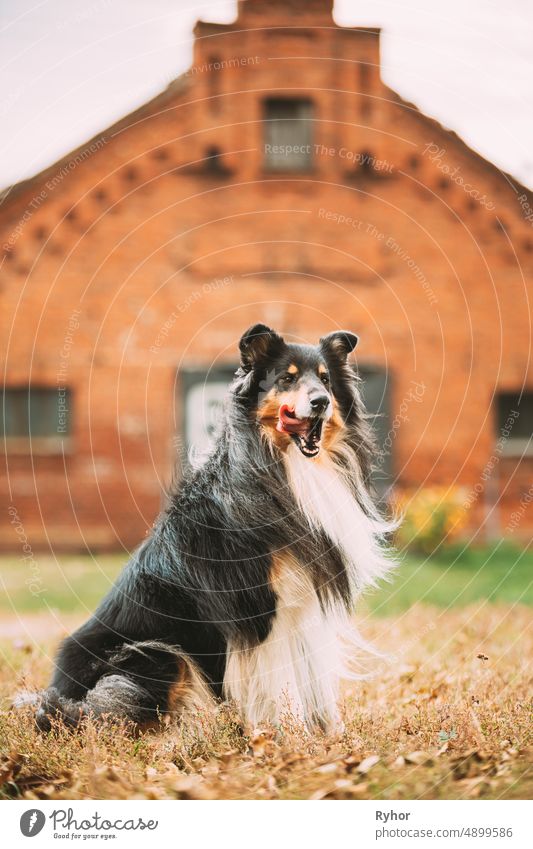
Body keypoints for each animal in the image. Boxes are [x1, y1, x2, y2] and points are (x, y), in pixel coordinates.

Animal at [32, 322, 390, 732]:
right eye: (287, 378)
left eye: (326, 380)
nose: (321, 402)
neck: (285, 468)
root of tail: (54, 701)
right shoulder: (259, 611)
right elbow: (279, 685)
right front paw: (289, 736)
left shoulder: (303, 607)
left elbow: (314, 681)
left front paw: (330, 736)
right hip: (157, 654)